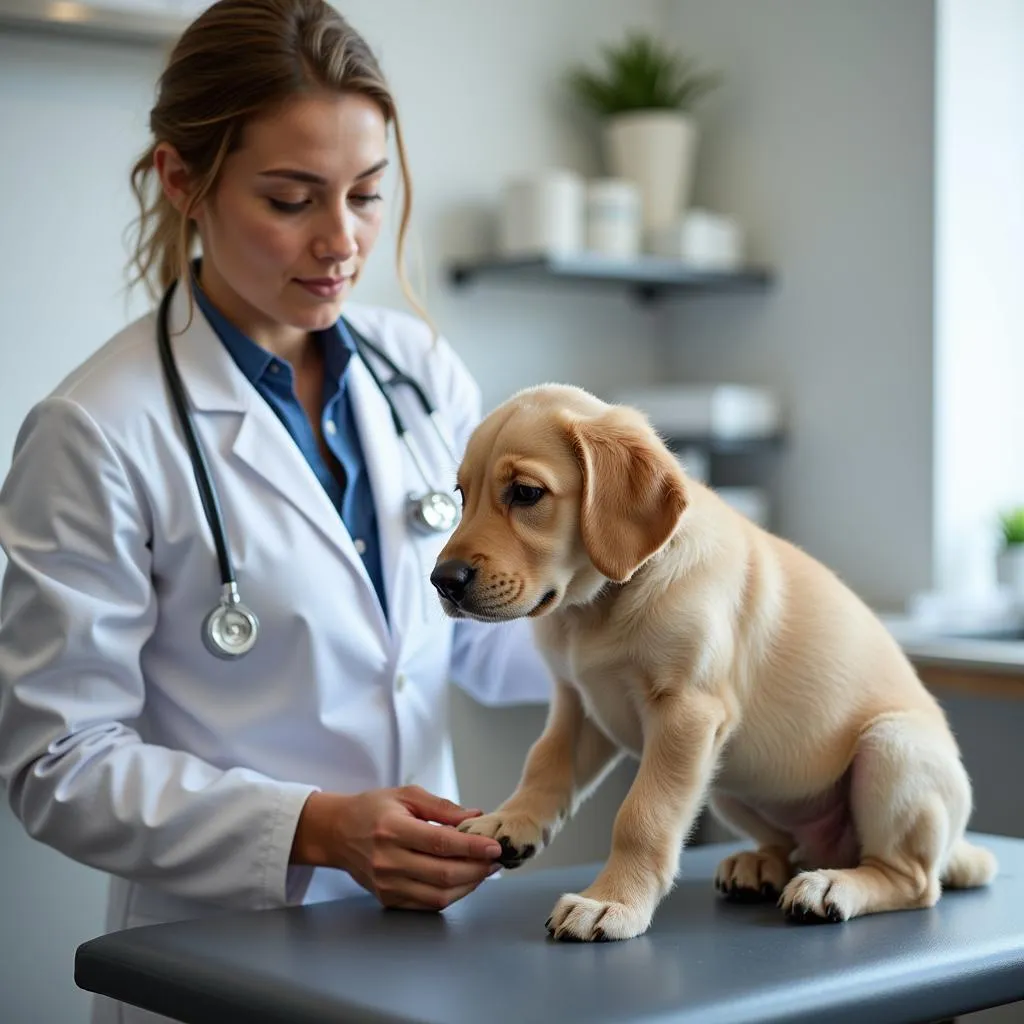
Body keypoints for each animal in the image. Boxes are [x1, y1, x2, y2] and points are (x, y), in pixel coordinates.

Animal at [430, 380, 991, 937]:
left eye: (526, 493)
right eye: (461, 496)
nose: (442, 581)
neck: (599, 605)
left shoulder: (686, 712)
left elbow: (642, 816)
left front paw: (612, 903)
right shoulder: (578, 701)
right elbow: (545, 762)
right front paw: (513, 820)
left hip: (890, 748)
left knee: (912, 880)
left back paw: (832, 887)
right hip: (728, 782)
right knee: (796, 847)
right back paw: (760, 865)